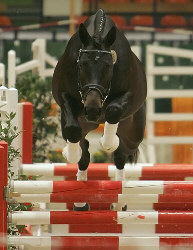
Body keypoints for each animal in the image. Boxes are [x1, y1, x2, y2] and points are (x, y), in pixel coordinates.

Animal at [52, 8, 147, 210]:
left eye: (109, 66)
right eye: (81, 65)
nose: (93, 110)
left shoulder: (128, 94)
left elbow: (113, 111)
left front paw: (108, 142)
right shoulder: (65, 98)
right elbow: (72, 131)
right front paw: (70, 154)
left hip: (133, 134)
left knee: (121, 155)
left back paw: (119, 203)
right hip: (82, 123)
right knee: (84, 150)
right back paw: (80, 202)